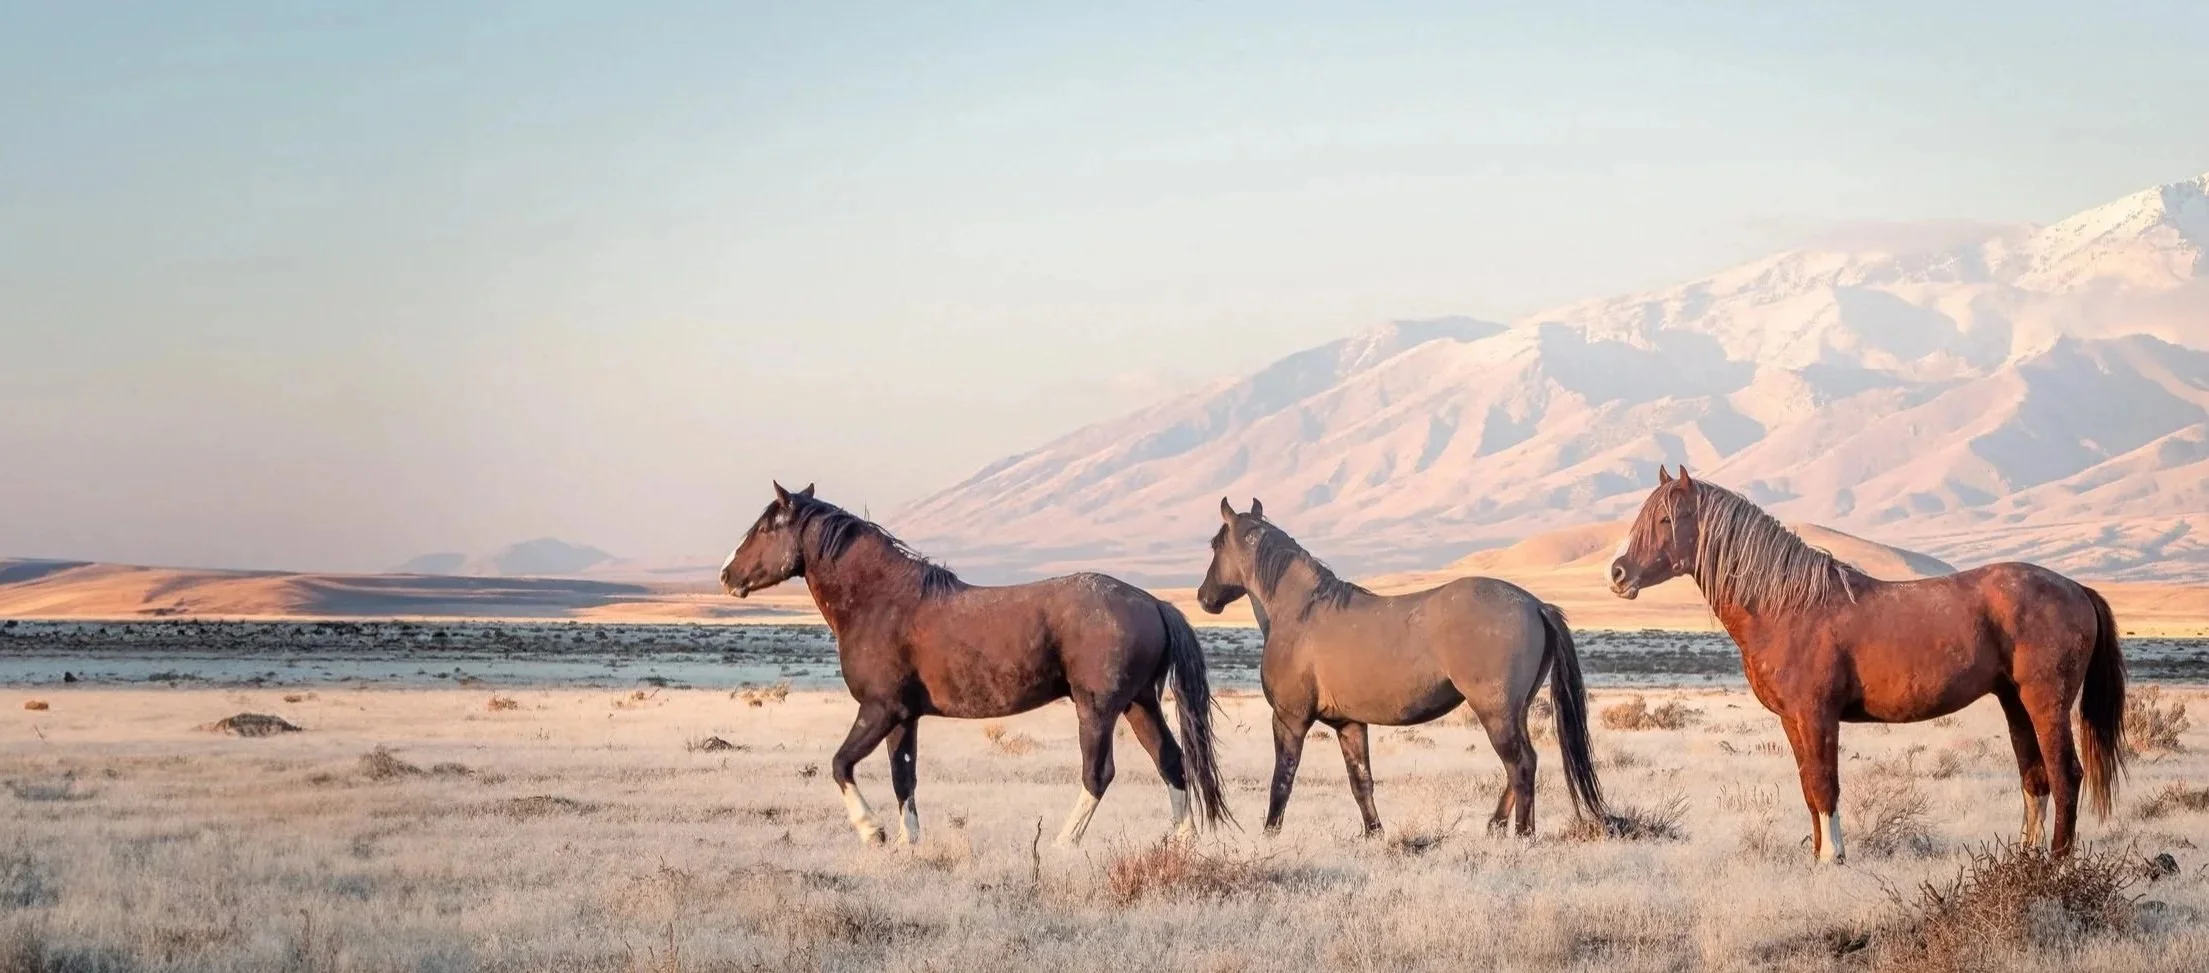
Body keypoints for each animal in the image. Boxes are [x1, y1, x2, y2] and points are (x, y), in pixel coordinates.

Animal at [719, 482, 1232, 847]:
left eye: (766, 527)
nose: (726, 575)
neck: (881, 601)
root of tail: (1154, 603)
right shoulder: (904, 717)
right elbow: (903, 777)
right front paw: (909, 843)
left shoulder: (880, 709)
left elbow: (840, 764)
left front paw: (873, 831)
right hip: (1140, 703)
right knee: (1171, 760)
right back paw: (1181, 843)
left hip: (1099, 709)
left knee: (1098, 773)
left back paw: (1063, 843)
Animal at [1196, 498, 1605, 837]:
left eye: (1216, 545)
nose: (1204, 598)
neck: (1301, 611)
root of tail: (1535, 604)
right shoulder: (1349, 724)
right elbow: (1360, 780)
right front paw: (1373, 832)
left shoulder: (1290, 718)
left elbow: (1282, 778)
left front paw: (1269, 833)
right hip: (1514, 711)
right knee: (1521, 764)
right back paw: (1497, 826)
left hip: (1496, 712)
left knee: (1520, 765)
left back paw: (1521, 833)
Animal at [1607, 467, 2127, 863]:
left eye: (1665, 518)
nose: (1617, 574)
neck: (1787, 606)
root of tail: (2077, 588)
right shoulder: (1793, 722)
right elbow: (1808, 787)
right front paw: (1817, 857)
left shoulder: (1818, 717)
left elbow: (1825, 785)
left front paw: (1832, 858)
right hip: (2014, 702)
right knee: (2034, 778)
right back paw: (2024, 859)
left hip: (2046, 703)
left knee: (2065, 774)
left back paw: (2058, 863)